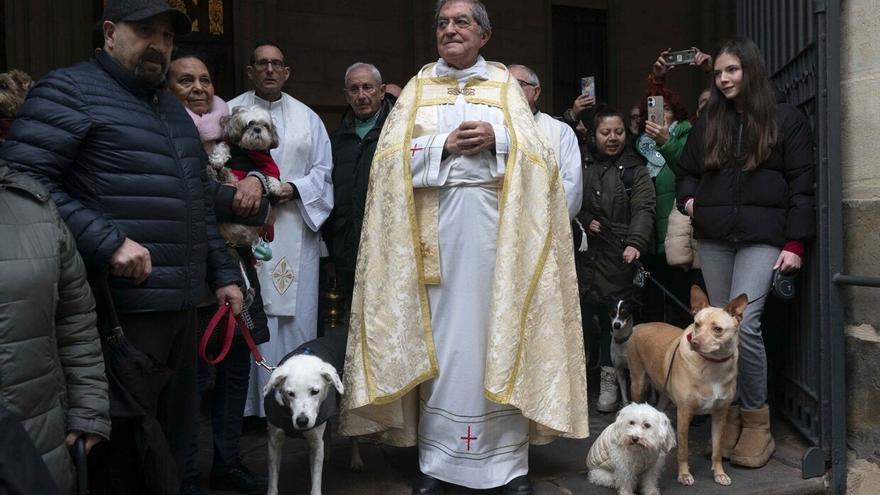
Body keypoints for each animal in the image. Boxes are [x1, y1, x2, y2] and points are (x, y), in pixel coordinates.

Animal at [628, 286, 744, 488]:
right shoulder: (684, 413)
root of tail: (640, 325)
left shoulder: (720, 414)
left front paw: (719, 473)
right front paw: (683, 475)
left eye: (718, 329)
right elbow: (683, 450)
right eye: (697, 324)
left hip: (665, 396)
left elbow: (717, 450)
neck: (713, 366)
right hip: (638, 383)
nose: (694, 342)